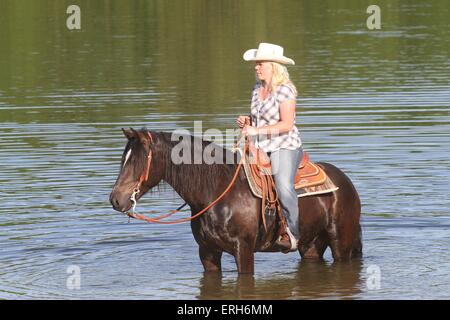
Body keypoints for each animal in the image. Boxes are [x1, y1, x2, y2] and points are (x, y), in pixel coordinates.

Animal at [109, 129, 362, 274]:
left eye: (138, 161)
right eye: (124, 158)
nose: (115, 199)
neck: (215, 192)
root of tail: (345, 181)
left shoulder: (244, 250)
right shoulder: (207, 252)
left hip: (341, 244)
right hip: (310, 246)